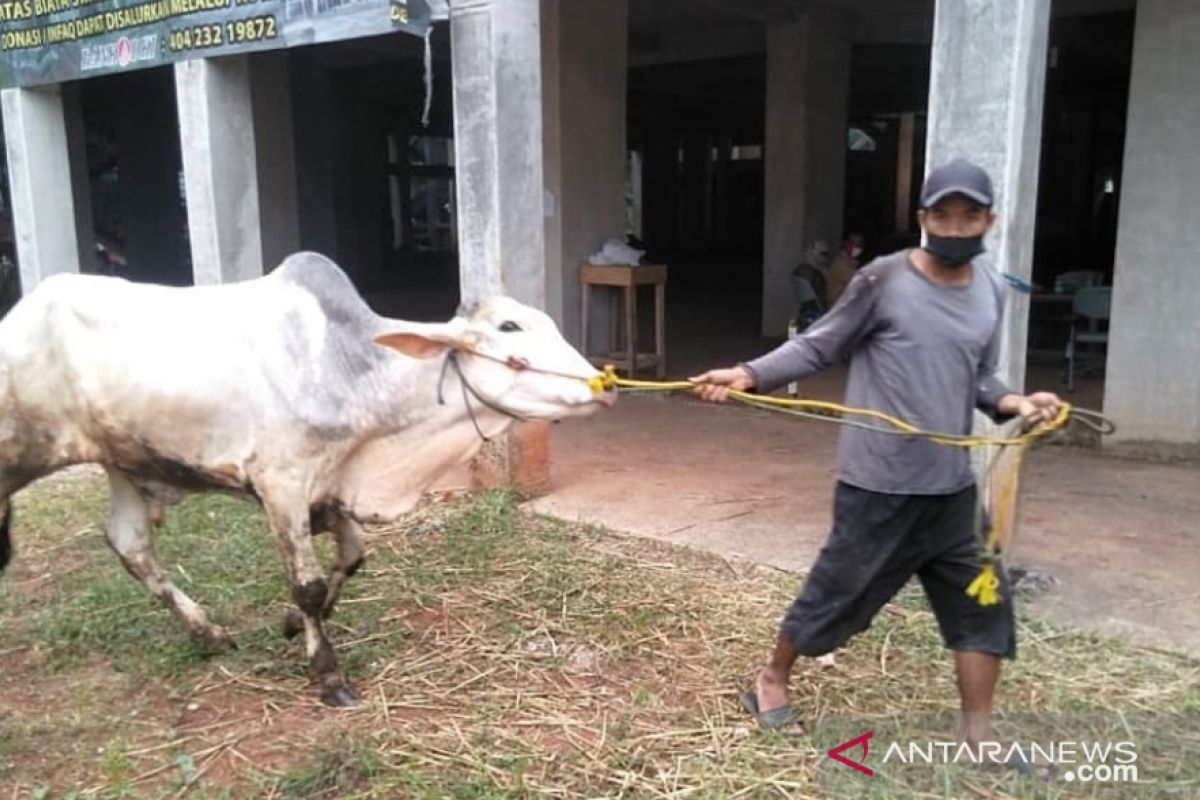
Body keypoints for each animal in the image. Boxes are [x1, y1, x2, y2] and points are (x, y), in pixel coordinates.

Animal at [0, 253, 619, 705]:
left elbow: (351, 559)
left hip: (124, 465)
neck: (349, 370)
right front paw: (327, 673)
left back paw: (207, 633)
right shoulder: (283, 485)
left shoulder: (332, 487)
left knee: (131, 546)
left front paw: (293, 625)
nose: (605, 385)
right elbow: (311, 584)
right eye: (511, 329)